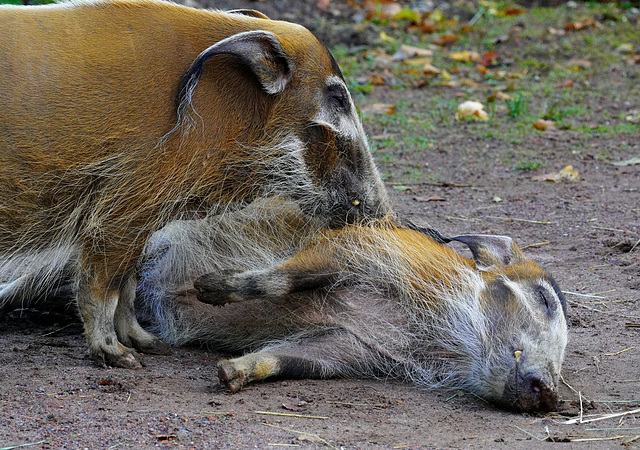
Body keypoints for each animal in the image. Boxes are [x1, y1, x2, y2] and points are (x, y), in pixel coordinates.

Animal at [0, 0, 390, 370]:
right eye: (338, 98)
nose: (382, 212)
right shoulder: (123, 209)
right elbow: (103, 287)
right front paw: (120, 357)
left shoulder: (141, 216)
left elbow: (128, 286)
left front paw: (153, 345)